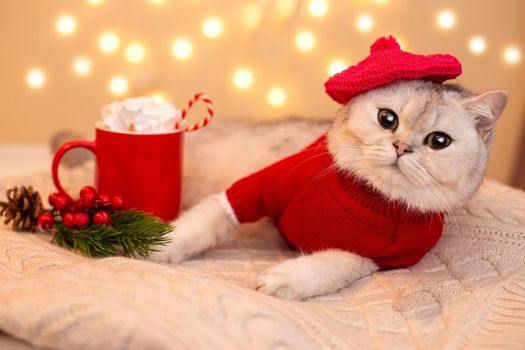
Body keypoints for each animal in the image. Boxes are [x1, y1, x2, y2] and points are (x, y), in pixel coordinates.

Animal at [146, 80, 504, 300]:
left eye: (439, 141)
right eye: (387, 119)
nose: (402, 148)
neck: (368, 196)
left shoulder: (387, 258)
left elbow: (337, 263)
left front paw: (287, 280)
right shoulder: (259, 187)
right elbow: (210, 218)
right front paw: (159, 245)